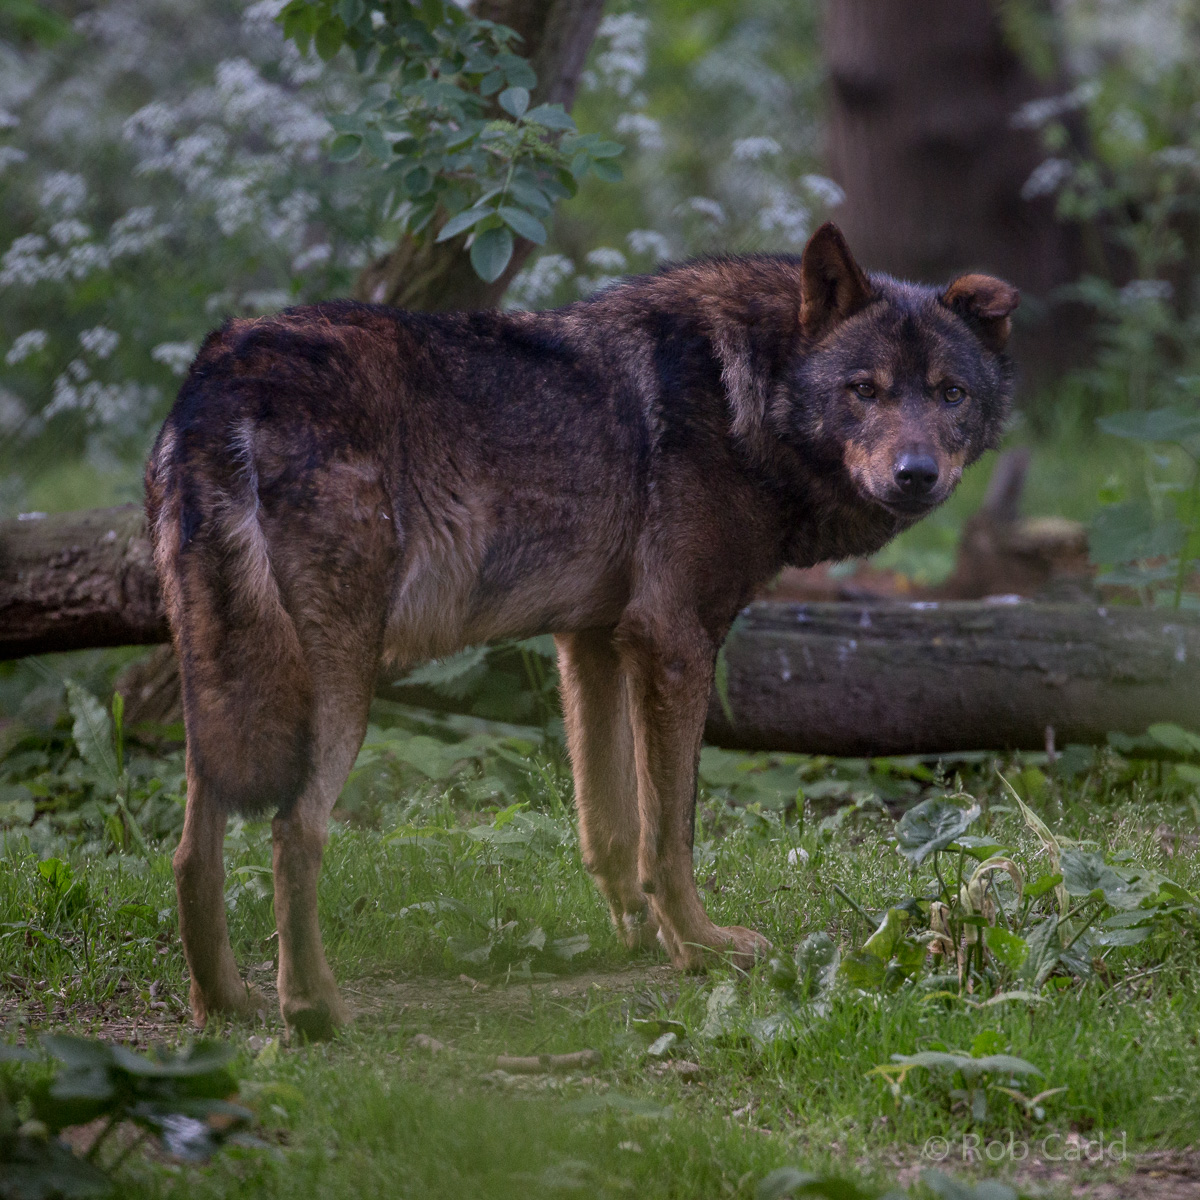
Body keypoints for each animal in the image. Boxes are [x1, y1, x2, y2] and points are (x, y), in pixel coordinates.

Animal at [145, 223, 1017, 1038]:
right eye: (864, 390)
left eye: (950, 395)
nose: (916, 474)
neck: (748, 390)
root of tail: (226, 369)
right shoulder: (673, 641)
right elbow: (671, 834)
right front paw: (702, 950)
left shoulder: (594, 640)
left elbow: (610, 824)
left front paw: (642, 936)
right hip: (337, 687)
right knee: (295, 832)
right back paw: (314, 1010)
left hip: (225, 689)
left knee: (191, 853)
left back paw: (223, 1004)